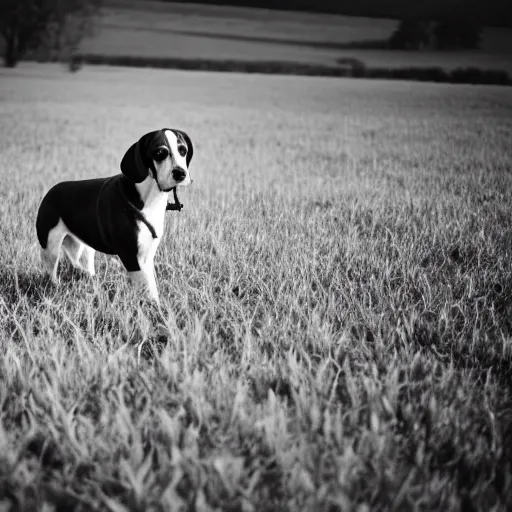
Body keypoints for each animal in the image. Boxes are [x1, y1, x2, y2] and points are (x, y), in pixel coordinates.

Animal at [34, 129, 194, 304]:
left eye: (183, 150)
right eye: (159, 153)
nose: (180, 173)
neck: (148, 195)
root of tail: (50, 191)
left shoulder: (147, 254)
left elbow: (151, 284)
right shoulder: (132, 257)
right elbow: (149, 292)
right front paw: (156, 309)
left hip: (83, 248)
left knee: (80, 263)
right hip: (50, 245)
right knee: (51, 272)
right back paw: (55, 287)